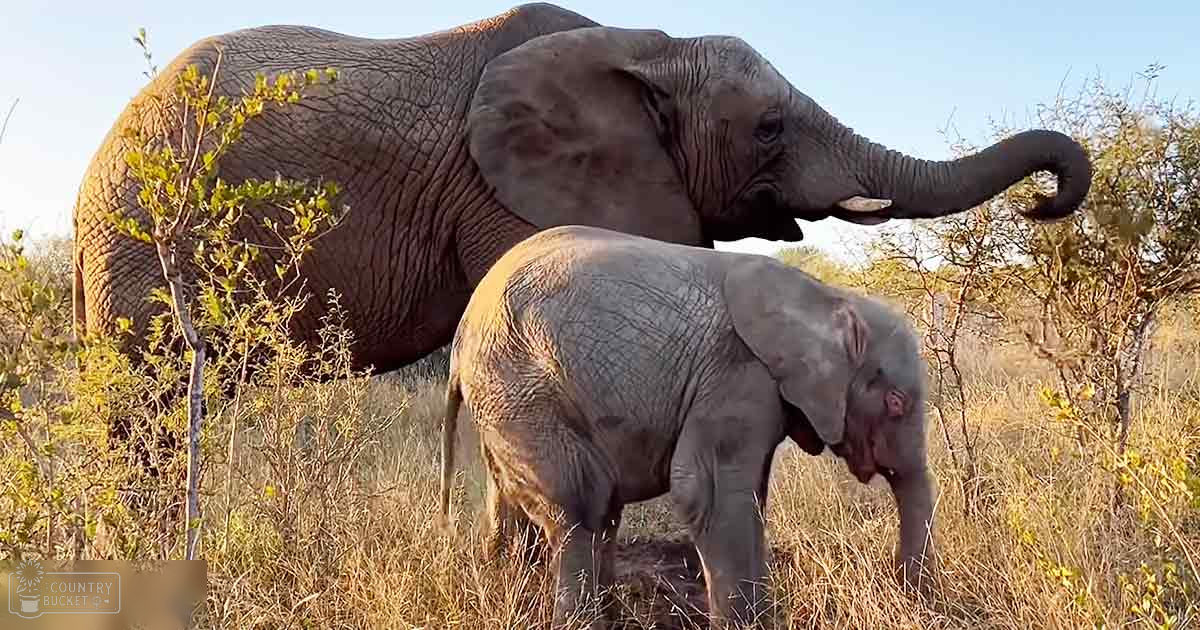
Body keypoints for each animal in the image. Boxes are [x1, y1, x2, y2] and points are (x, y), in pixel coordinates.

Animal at [438, 225, 935, 629]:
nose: (908, 595)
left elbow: (750, 495)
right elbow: (705, 492)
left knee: (561, 507)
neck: (828, 297)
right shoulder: (735, 374)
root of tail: (460, 341)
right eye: (895, 403)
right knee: (580, 506)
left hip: (510, 398)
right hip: (523, 384)